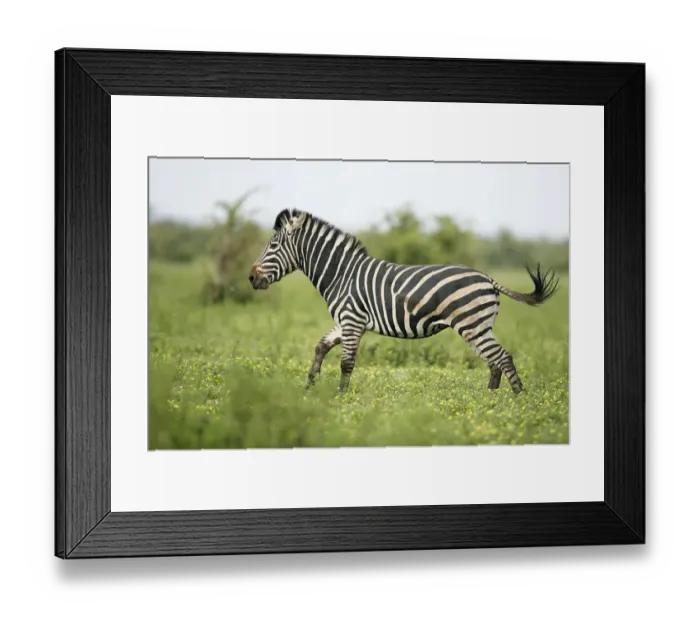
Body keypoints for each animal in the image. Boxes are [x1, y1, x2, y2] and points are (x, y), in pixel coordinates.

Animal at [249, 209, 559, 394]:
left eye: (273, 246)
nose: (251, 278)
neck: (341, 274)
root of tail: (488, 278)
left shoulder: (352, 321)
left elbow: (346, 363)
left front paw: (341, 399)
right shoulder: (345, 322)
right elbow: (320, 347)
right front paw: (309, 387)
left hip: (473, 325)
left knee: (502, 358)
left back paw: (515, 402)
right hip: (478, 327)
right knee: (494, 361)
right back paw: (491, 401)